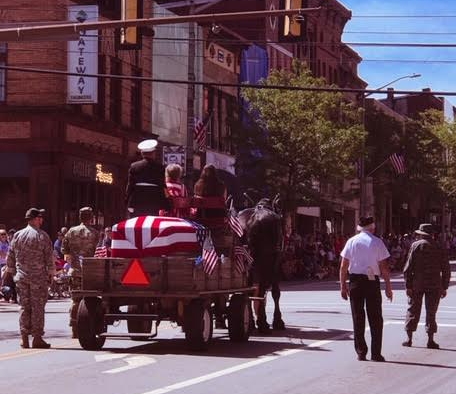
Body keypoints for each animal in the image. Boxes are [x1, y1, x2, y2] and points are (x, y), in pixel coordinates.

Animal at [235, 195, 284, 330]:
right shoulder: (276, 260)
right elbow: (274, 291)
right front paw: (277, 320)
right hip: (261, 260)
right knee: (260, 289)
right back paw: (262, 323)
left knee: (249, 289)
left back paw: (251, 322)